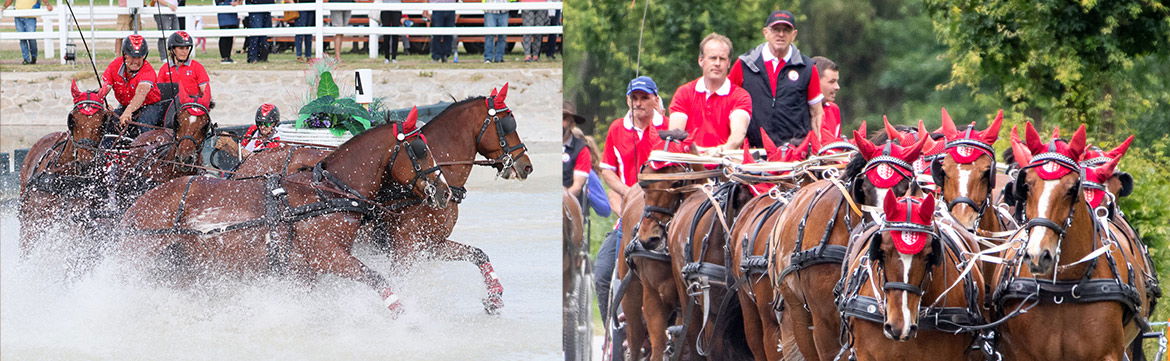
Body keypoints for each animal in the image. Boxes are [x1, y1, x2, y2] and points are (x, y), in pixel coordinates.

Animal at [18, 80, 114, 257]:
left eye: (103, 121)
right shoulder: (34, 222)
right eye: (72, 119)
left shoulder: (81, 225)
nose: (85, 162)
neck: (65, 181)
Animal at [118, 106, 446, 313]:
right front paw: (404, 317)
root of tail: (136, 208)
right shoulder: (328, 257)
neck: (326, 194)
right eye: (420, 150)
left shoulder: (303, 273)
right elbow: (377, 278)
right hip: (139, 257)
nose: (445, 192)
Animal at [992, 123, 1146, 359]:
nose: (1038, 255)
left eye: (1073, 188)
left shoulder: (1108, 353)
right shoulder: (1021, 353)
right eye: (1026, 186)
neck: (1062, 288)